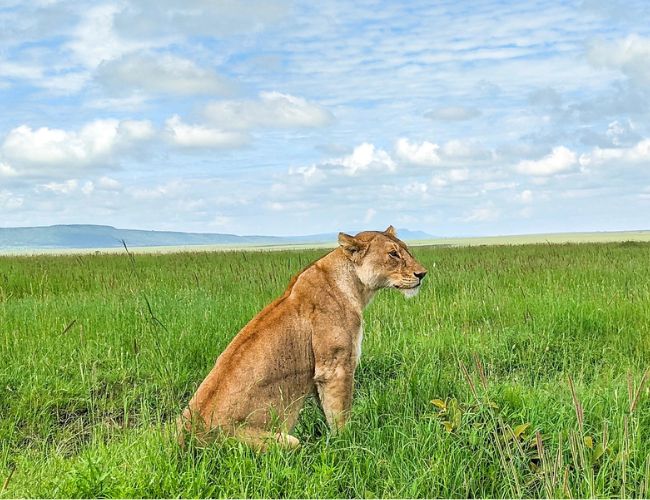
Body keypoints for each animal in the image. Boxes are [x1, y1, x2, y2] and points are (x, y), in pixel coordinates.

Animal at [178, 225, 427, 450]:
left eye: (406, 249)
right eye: (393, 254)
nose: (422, 274)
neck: (355, 285)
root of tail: (185, 440)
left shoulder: (320, 374)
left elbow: (326, 408)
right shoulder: (336, 367)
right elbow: (341, 413)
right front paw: (348, 443)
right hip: (286, 441)